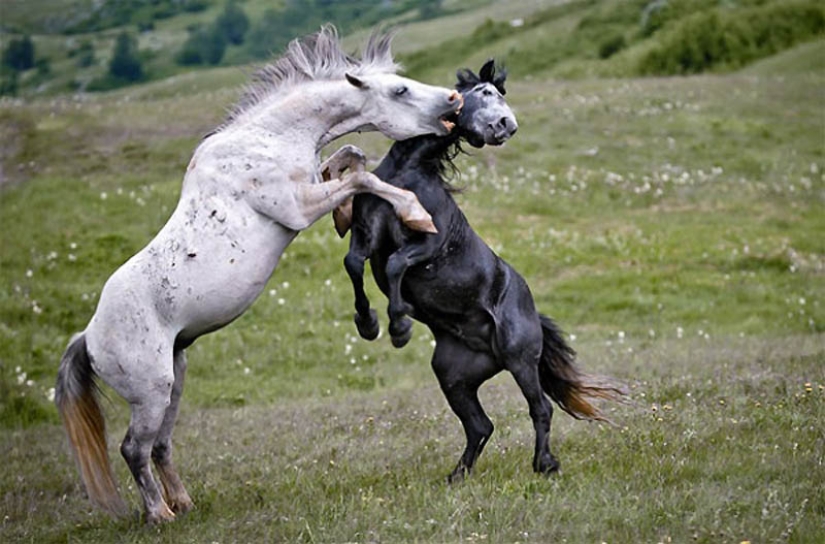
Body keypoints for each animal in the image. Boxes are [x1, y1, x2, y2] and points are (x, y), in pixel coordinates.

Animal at [54, 24, 460, 524]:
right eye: (399, 90)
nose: (454, 99)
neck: (266, 140)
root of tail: (88, 338)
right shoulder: (298, 208)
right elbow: (360, 178)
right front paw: (415, 212)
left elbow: (349, 159)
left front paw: (348, 214)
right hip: (150, 392)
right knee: (133, 449)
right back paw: (159, 514)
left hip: (174, 380)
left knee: (160, 445)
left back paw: (183, 503)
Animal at [338, 61, 620, 482]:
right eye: (486, 93)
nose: (507, 126)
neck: (408, 174)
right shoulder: (366, 232)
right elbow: (355, 263)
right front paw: (368, 323)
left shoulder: (430, 242)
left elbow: (396, 263)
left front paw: (399, 326)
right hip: (454, 377)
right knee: (480, 425)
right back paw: (457, 476)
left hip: (520, 360)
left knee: (540, 408)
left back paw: (545, 464)